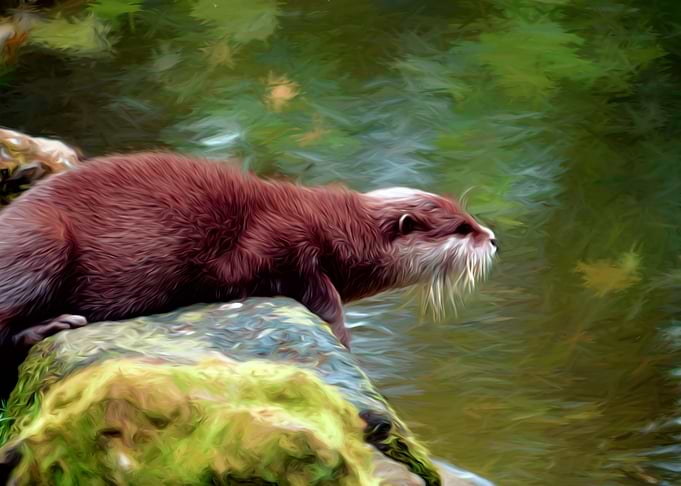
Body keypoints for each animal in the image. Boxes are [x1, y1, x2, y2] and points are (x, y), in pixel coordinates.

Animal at [0, 152, 497, 392]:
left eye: (469, 217)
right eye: (461, 227)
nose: (493, 238)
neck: (337, 228)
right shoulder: (272, 239)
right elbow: (310, 285)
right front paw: (341, 337)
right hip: (40, 243)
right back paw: (56, 324)